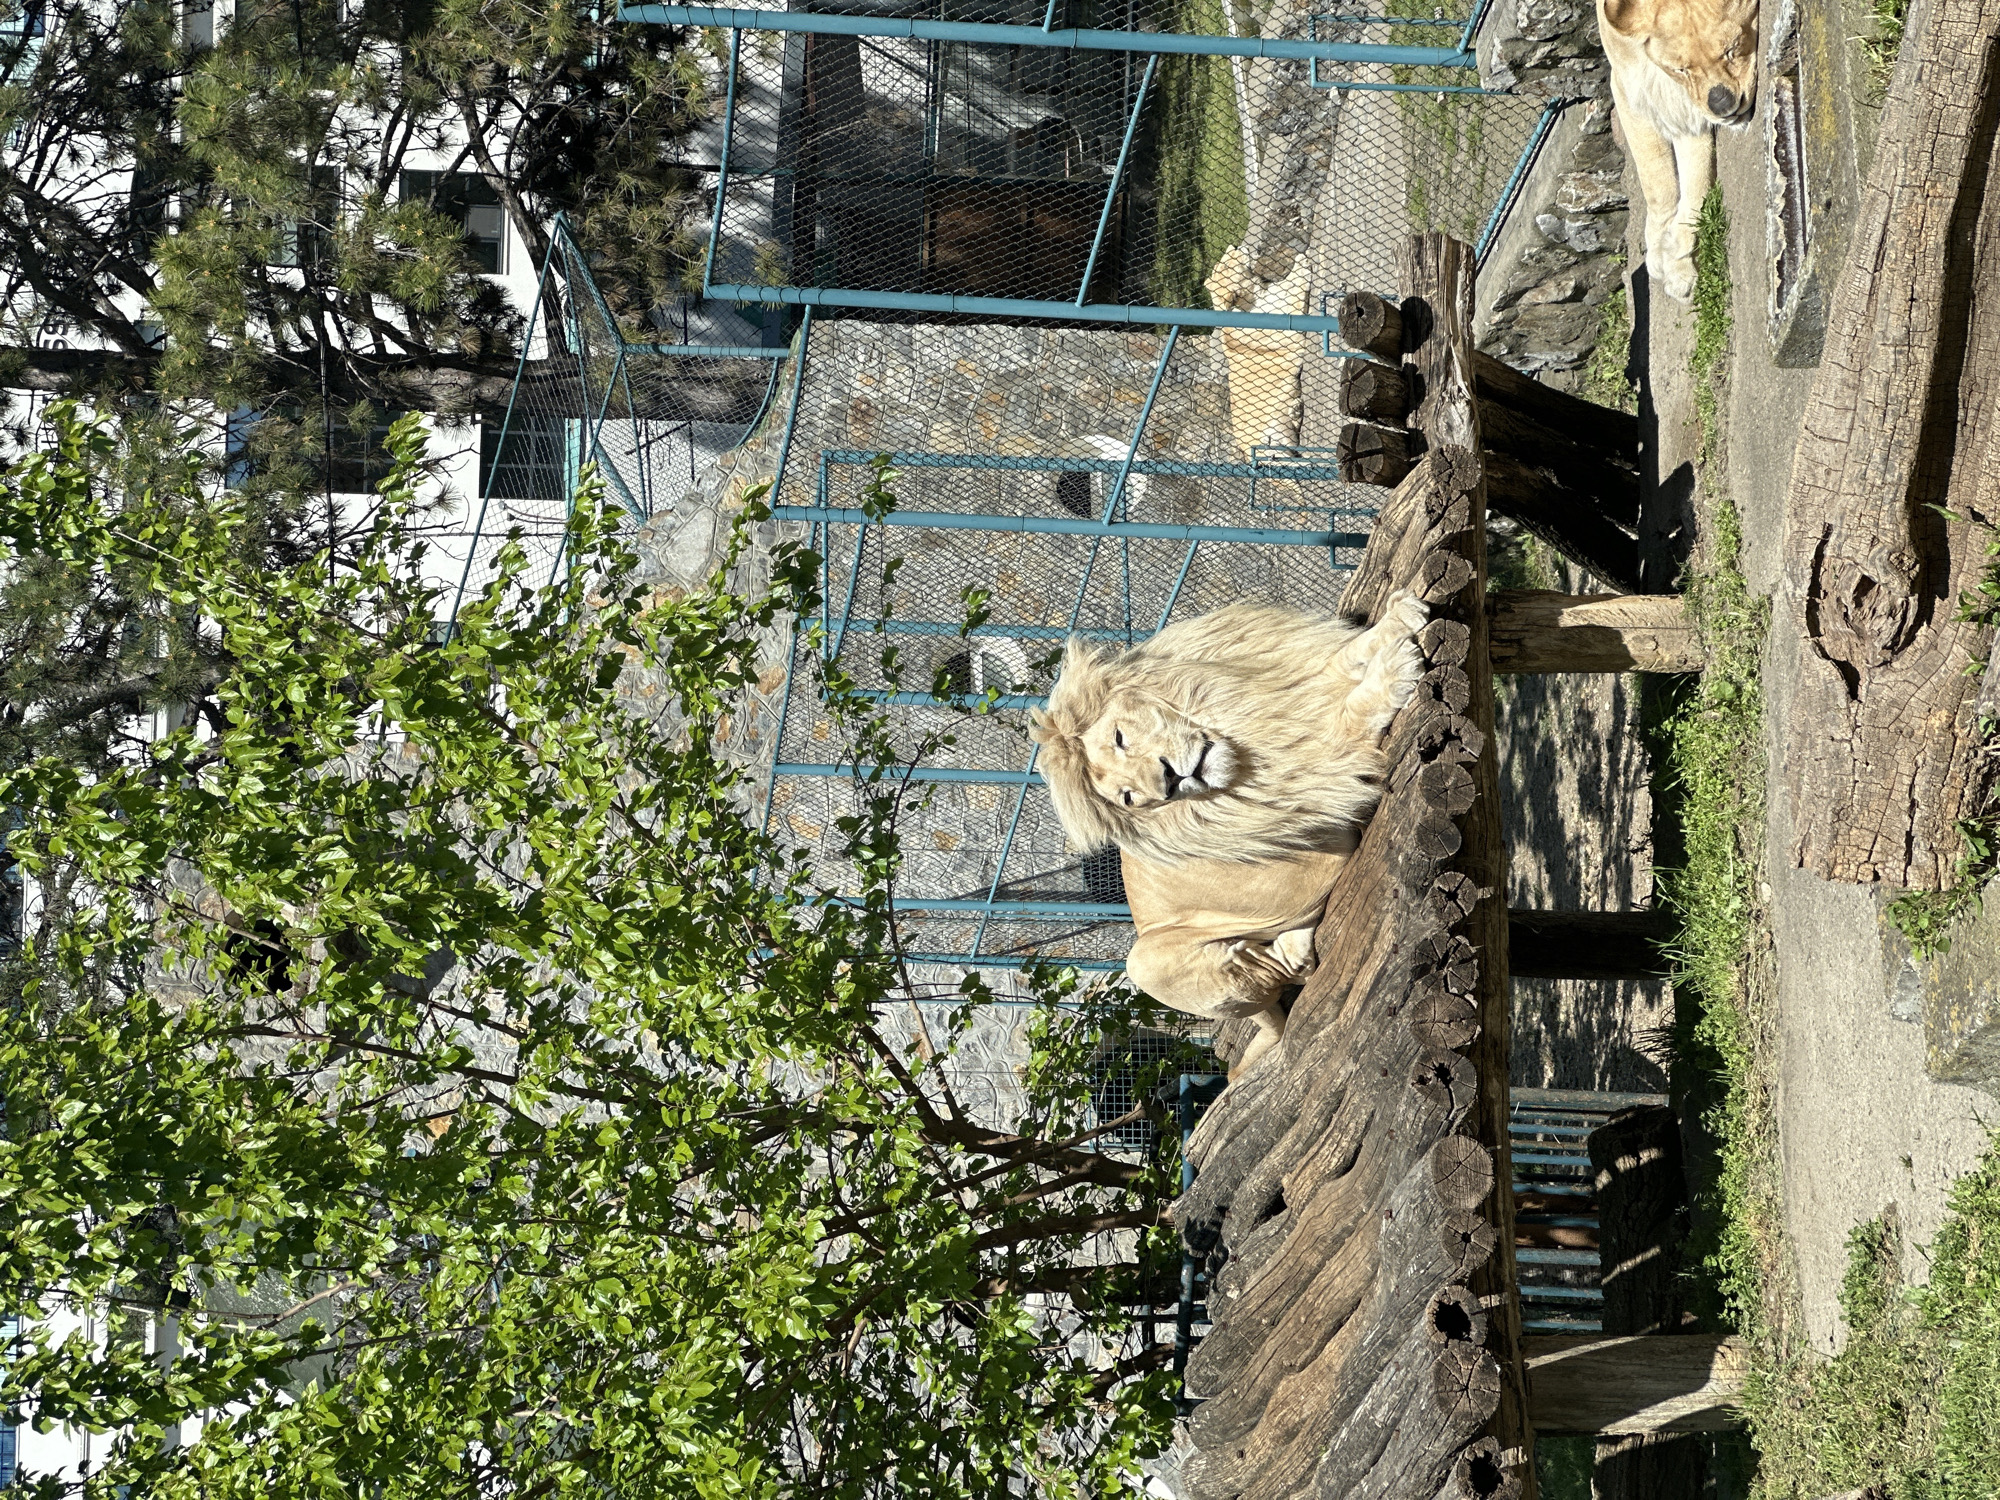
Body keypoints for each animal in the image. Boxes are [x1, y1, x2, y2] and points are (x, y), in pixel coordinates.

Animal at [1030, 593, 1429, 1072]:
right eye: (1128, 798)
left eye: (1121, 737)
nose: (1168, 781)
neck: (1243, 741)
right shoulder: (1316, 799)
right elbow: (1348, 716)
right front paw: (1395, 668)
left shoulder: (1288, 687)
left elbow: (1341, 657)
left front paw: (1399, 617)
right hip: (1143, 961)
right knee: (1283, 974)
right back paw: (1289, 947)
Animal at [1599, 0, 1758, 302]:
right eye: (1681, 69)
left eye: (1732, 49)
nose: (1722, 105)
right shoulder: (1628, 90)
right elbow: (1657, 185)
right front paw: (1659, 250)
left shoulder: (1689, 117)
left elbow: (1696, 185)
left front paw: (1677, 265)